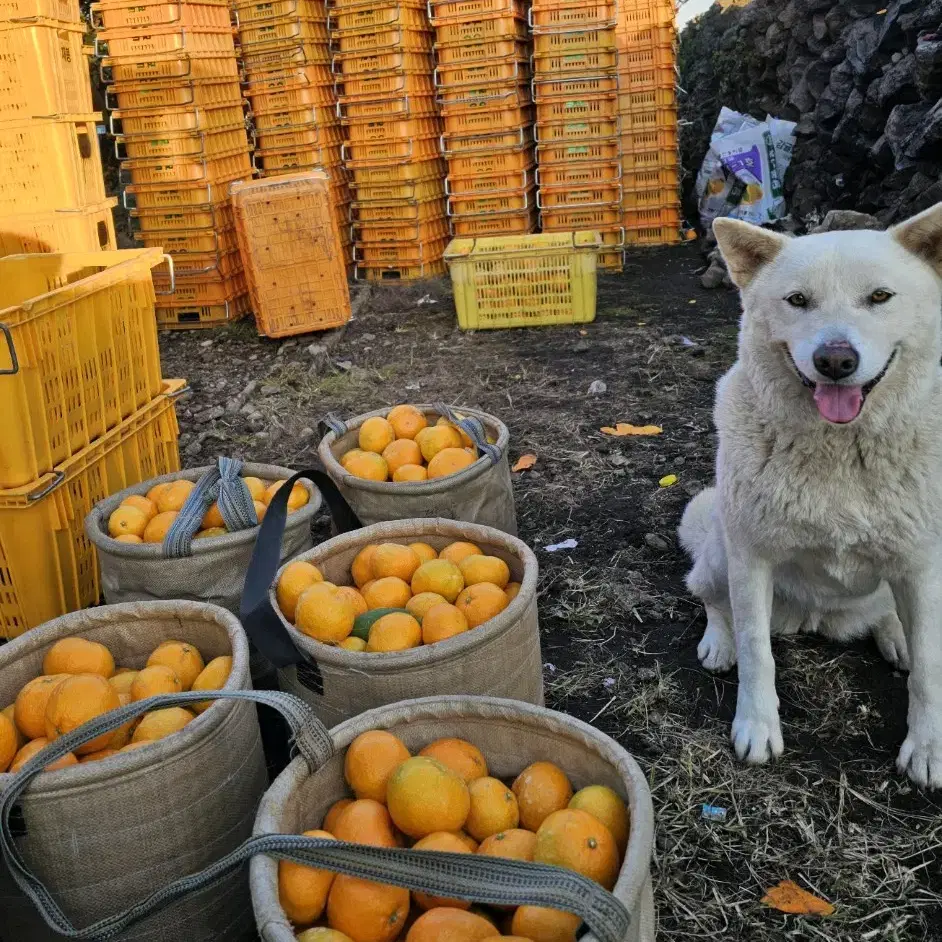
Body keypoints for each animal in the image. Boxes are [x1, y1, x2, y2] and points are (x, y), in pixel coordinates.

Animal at [680, 203, 942, 784]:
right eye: (798, 300)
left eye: (880, 297)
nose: (836, 361)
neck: (841, 450)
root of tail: (818, 620)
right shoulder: (751, 559)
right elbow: (758, 653)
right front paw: (757, 728)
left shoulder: (923, 566)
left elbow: (931, 668)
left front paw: (929, 747)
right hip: (719, 549)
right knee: (712, 600)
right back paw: (719, 641)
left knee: (890, 617)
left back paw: (894, 635)